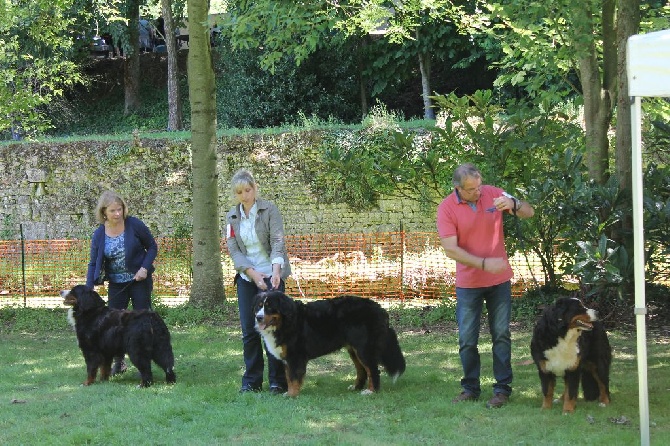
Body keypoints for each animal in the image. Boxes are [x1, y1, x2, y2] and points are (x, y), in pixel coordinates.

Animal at [253, 290, 406, 398]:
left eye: (269, 307)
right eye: (259, 306)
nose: (258, 317)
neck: (286, 321)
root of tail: (380, 309)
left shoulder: (295, 356)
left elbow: (293, 378)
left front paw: (292, 395)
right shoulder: (288, 358)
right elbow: (289, 378)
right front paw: (290, 393)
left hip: (363, 348)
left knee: (372, 369)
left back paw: (371, 391)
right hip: (353, 349)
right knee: (361, 370)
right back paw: (356, 387)